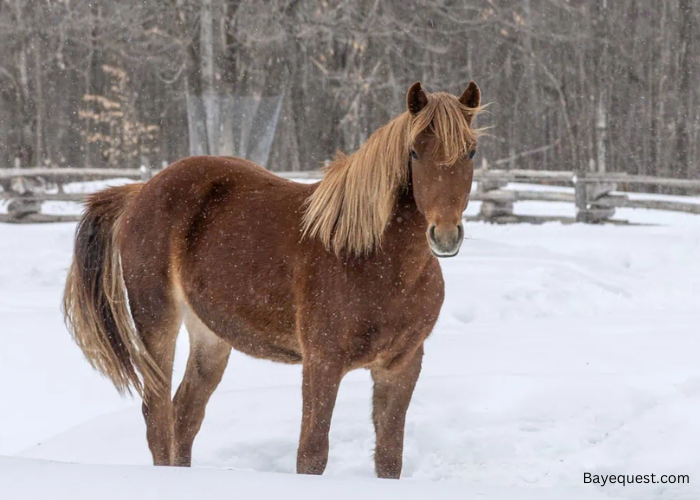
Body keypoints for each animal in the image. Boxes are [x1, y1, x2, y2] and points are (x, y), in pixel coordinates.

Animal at [64, 80, 482, 478]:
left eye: (471, 152)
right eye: (414, 152)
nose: (445, 234)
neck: (378, 263)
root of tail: (141, 192)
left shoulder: (401, 366)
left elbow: (389, 459)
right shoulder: (322, 362)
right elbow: (311, 455)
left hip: (210, 336)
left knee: (184, 416)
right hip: (157, 322)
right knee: (157, 417)